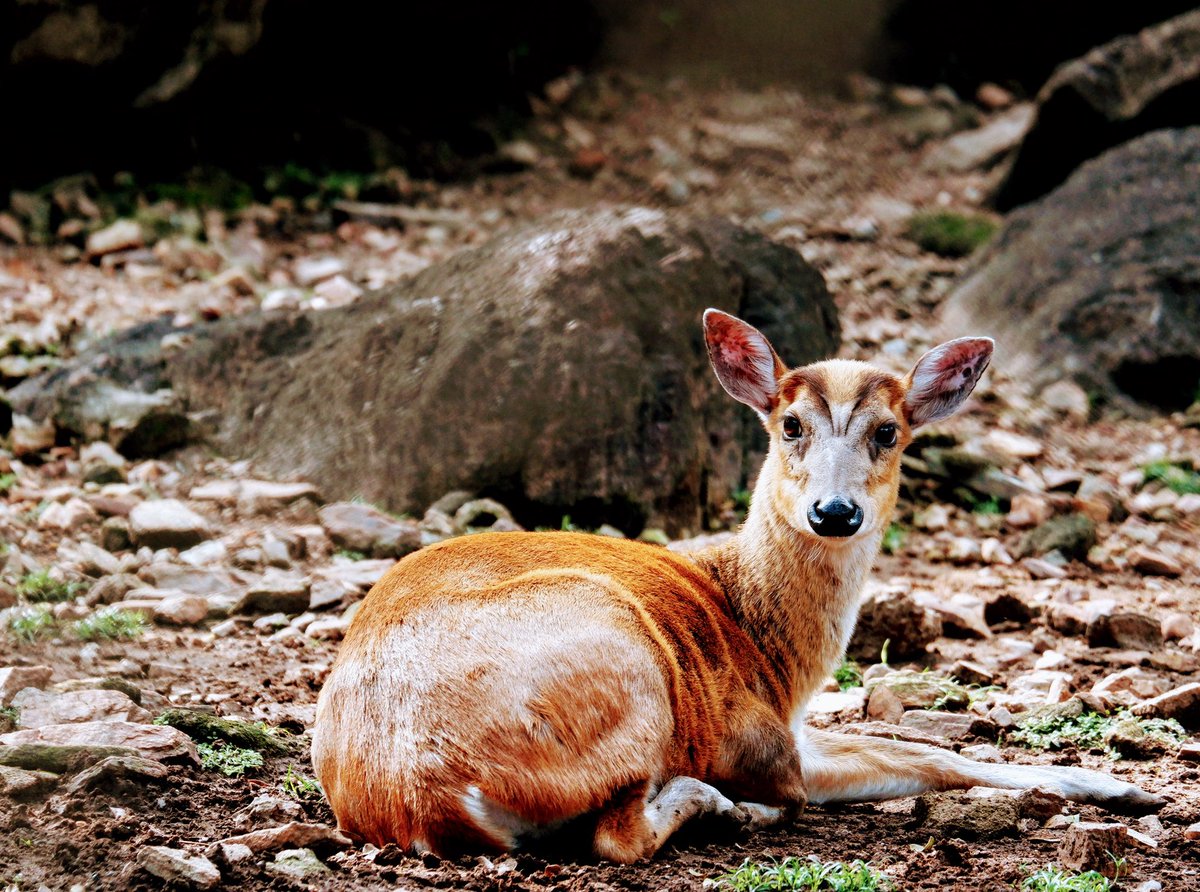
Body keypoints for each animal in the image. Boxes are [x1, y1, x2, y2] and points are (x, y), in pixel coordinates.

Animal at [311, 309, 1161, 862]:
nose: (834, 511)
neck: (772, 650)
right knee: (620, 836)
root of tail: (424, 791)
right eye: (790, 423)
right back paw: (718, 807)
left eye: (889, 431)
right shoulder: (762, 740)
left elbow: (922, 746)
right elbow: (915, 758)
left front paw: (1121, 787)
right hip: (634, 674)